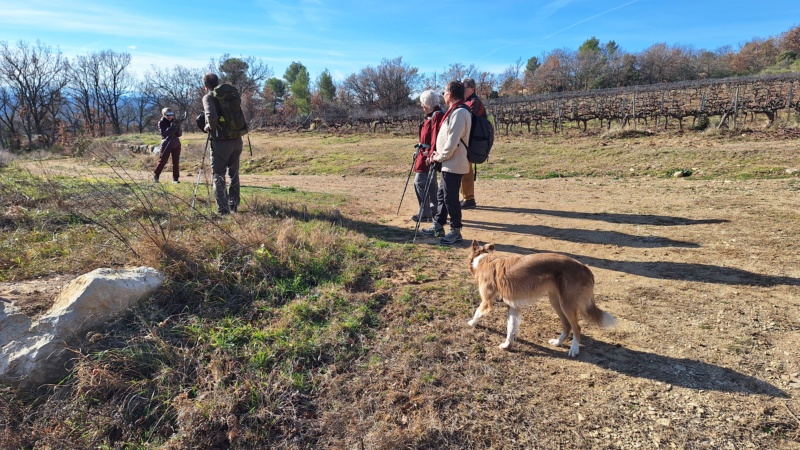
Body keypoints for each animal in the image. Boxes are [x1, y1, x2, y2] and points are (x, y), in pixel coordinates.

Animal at [466, 241, 616, 356]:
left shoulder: (487, 301)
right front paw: (507, 345)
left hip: (566, 304)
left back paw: (574, 349)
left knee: (576, 327)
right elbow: (510, 327)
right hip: (556, 302)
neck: (483, 259)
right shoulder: (512, 305)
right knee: (567, 325)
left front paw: (471, 323)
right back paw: (558, 342)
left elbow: (477, 312)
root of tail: (584, 267)